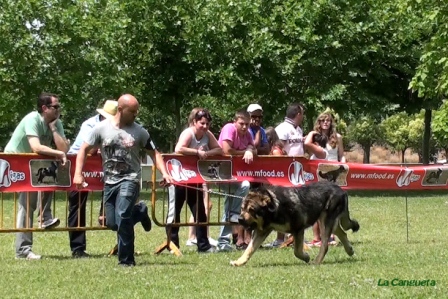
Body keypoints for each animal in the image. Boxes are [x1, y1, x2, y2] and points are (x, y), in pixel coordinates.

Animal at [231, 180, 360, 268]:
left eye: (252, 210)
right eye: (242, 208)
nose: (239, 219)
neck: (275, 207)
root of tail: (341, 190)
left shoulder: (298, 230)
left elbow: (297, 251)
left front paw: (306, 257)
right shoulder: (261, 231)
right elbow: (249, 249)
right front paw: (239, 262)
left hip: (325, 222)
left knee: (325, 245)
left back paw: (316, 261)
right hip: (328, 222)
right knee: (343, 233)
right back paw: (349, 250)